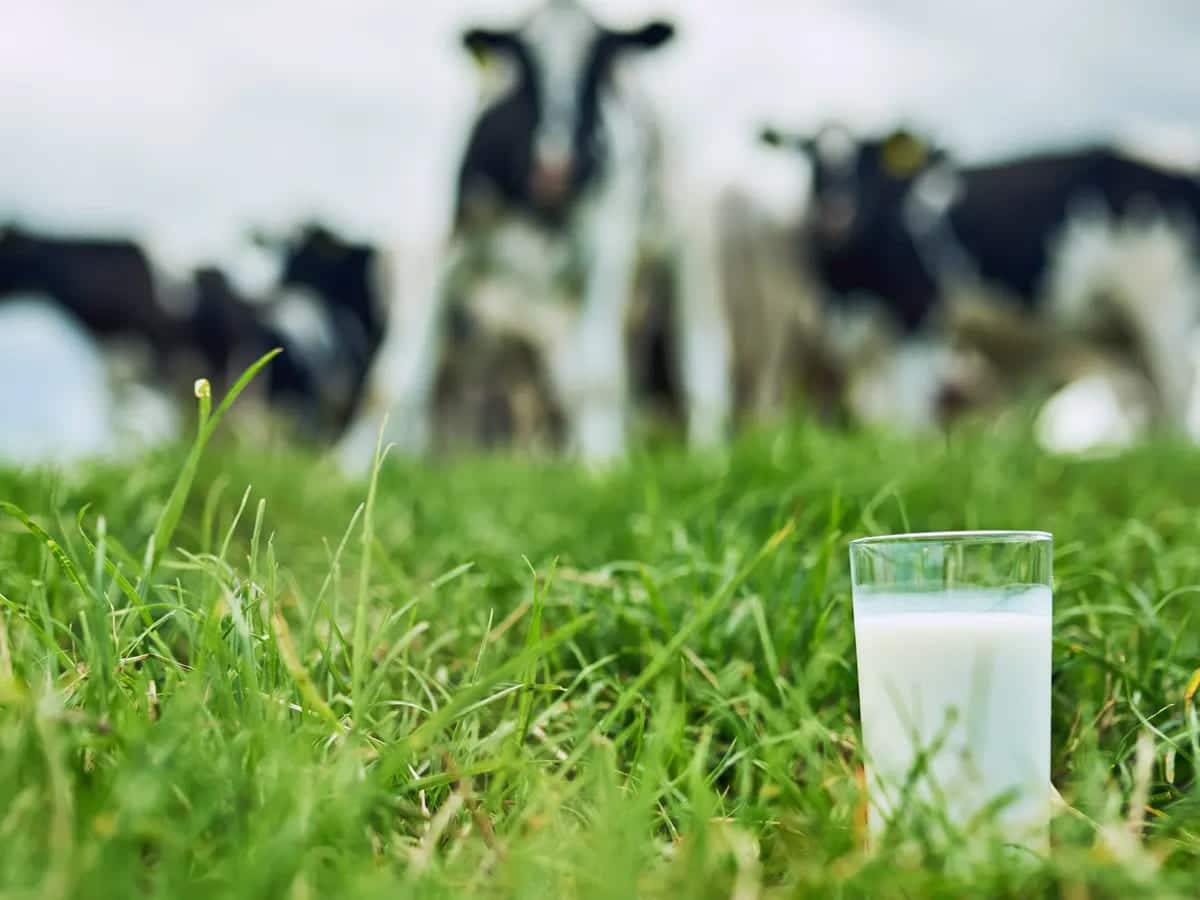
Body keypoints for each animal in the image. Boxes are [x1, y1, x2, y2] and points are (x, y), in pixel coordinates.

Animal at [338, 1, 729, 472]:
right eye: (524, 64)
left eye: (599, 61)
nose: (556, 169)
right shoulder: (438, 251)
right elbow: (392, 379)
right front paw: (348, 466)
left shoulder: (608, 250)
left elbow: (599, 374)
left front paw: (604, 466)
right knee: (569, 376)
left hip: (692, 242)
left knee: (701, 354)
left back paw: (707, 453)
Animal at [763, 125, 1200, 434]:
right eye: (810, 160)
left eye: (868, 162)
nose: (835, 215)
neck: (847, 283)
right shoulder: (860, 345)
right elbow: (875, 413)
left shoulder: (920, 320)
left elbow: (906, 415)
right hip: (1124, 332)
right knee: (1153, 398)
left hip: (1166, 304)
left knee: (1177, 386)